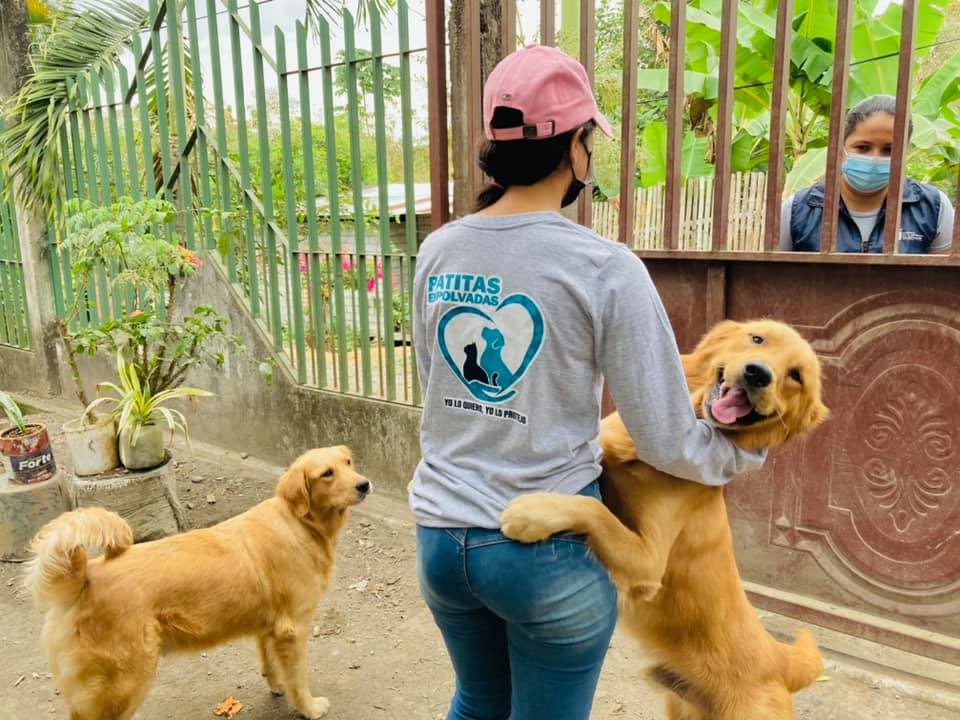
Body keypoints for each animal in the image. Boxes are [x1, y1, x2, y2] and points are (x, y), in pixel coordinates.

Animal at [25, 446, 370, 720]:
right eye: (327, 473)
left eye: (348, 462)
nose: (365, 484)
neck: (299, 522)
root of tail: (82, 578)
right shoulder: (292, 630)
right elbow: (298, 679)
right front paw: (309, 708)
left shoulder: (268, 628)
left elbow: (272, 667)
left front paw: (278, 689)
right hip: (124, 683)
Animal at [501, 319, 830, 720]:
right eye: (757, 339)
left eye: (796, 376)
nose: (758, 373)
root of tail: (779, 659)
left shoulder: (648, 564)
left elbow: (594, 510)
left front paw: (530, 513)